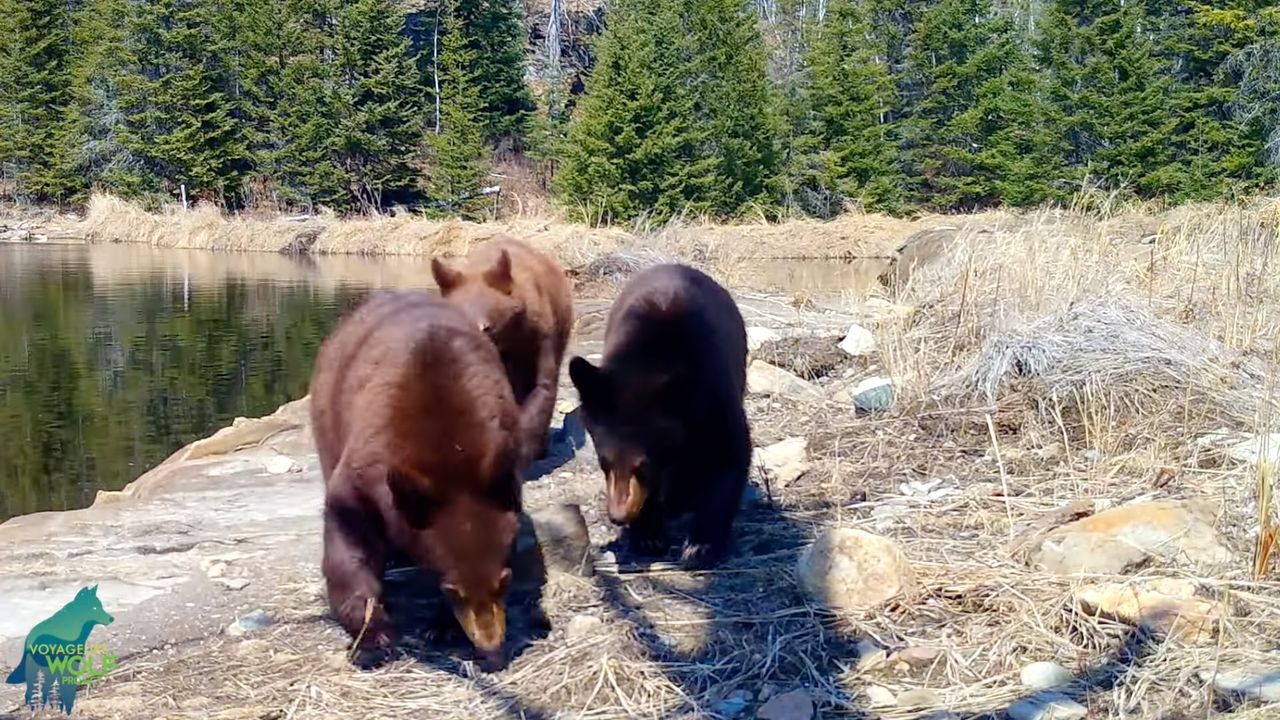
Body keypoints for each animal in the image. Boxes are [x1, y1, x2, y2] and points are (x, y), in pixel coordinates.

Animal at [309, 286, 524, 666]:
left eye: (505, 581)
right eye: (453, 591)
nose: (491, 646)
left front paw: (441, 627)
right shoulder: (365, 470)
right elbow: (346, 536)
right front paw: (372, 633)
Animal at [568, 260, 747, 568]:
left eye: (643, 465)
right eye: (604, 462)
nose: (618, 516)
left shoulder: (715, 392)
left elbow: (729, 457)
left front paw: (700, 546)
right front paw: (648, 535)